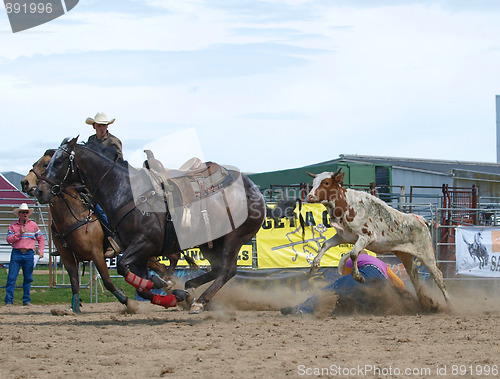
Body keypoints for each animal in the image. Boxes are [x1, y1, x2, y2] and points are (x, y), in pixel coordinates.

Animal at [35, 138, 268, 314]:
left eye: (58, 161)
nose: (38, 190)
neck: (125, 190)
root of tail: (255, 190)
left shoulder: (143, 244)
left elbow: (122, 268)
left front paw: (165, 286)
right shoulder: (136, 254)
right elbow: (137, 282)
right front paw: (170, 294)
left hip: (233, 238)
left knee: (228, 270)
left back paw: (200, 300)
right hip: (210, 243)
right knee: (219, 268)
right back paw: (189, 291)